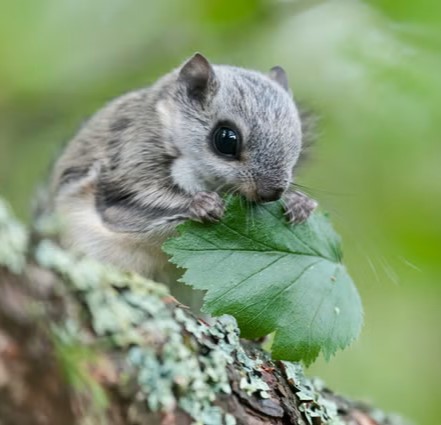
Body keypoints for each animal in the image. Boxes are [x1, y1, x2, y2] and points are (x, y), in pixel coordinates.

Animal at [44, 52, 316, 292]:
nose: (272, 193)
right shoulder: (129, 166)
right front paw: (201, 204)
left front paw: (299, 203)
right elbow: (128, 210)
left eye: (297, 140)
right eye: (226, 139)